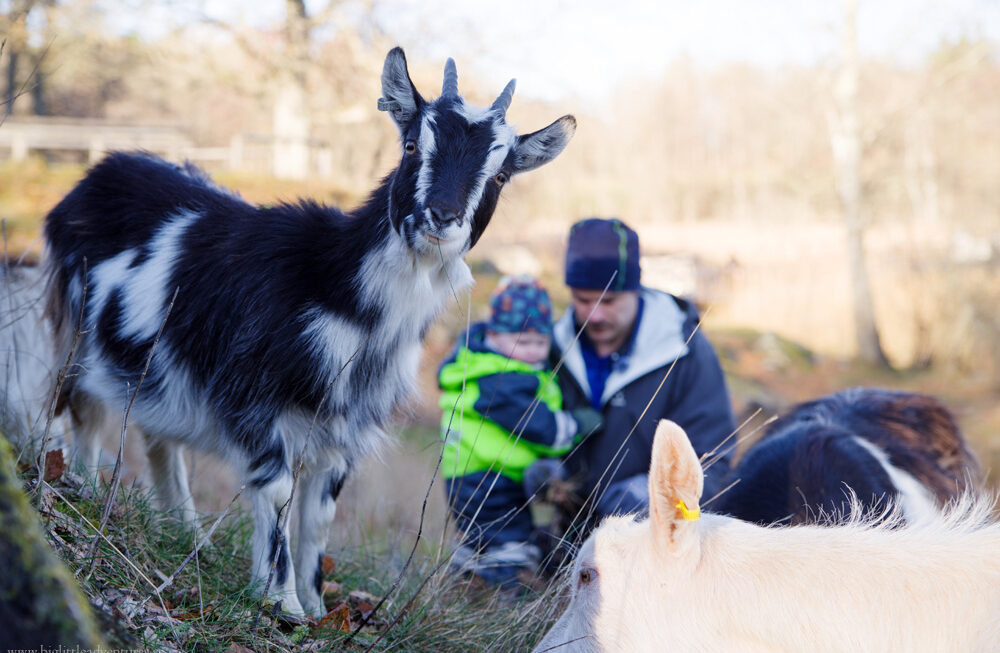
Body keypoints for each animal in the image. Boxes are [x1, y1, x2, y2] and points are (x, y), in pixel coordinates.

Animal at [43, 47, 580, 616]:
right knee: (75, 405)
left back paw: (180, 529)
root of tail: (100, 169)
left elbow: (320, 516)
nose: (442, 216)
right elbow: (279, 491)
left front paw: (318, 609)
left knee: (148, 431)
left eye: (501, 176)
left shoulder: (346, 424)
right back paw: (70, 484)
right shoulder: (255, 397)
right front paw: (282, 604)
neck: (341, 294)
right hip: (73, 329)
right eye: (412, 144)